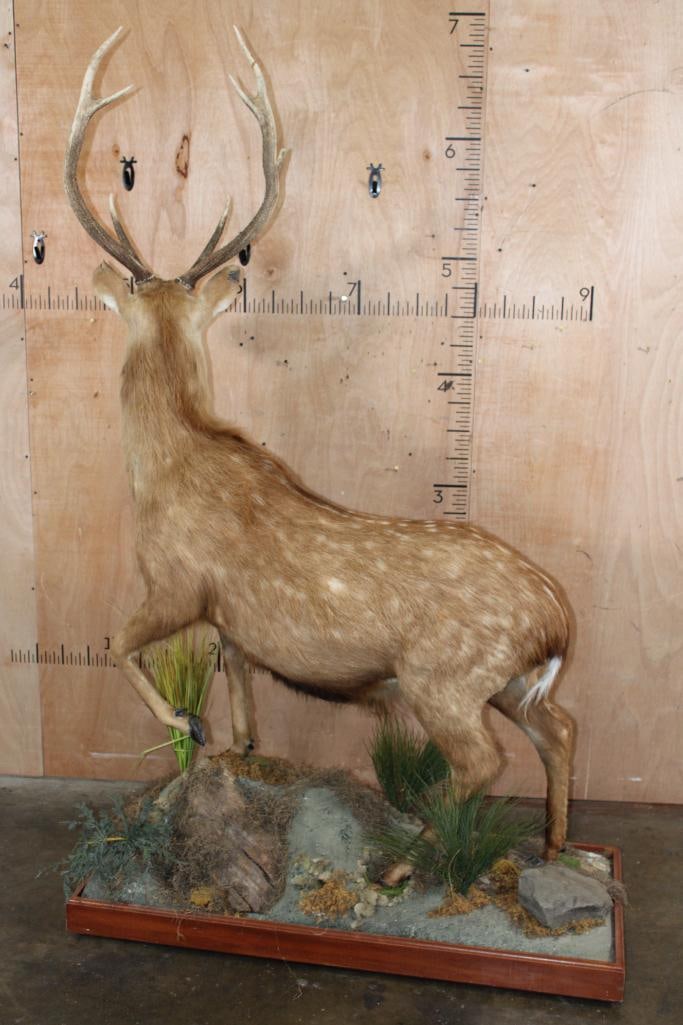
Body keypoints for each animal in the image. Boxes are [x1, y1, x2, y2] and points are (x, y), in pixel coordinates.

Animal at [65, 25, 575, 866]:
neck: (165, 464)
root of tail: (557, 619)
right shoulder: (226, 615)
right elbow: (235, 670)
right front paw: (236, 743)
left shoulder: (175, 583)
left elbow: (115, 641)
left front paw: (186, 723)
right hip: (505, 680)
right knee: (559, 728)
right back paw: (555, 845)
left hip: (444, 677)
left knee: (482, 760)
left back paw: (404, 858)